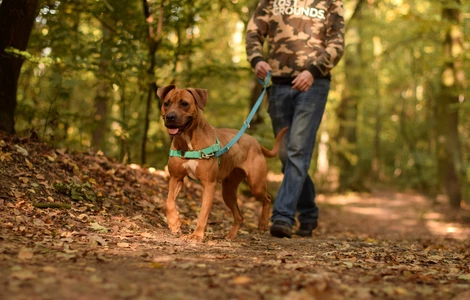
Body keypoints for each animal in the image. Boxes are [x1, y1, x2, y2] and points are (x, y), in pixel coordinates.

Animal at [157, 84, 286, 241]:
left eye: (184, 104)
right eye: (166, 103)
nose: (170, 117)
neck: (188, 140)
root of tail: (255, 141)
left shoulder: (209, 184)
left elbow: (203, 213)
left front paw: (197, 235)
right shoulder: (176, 178)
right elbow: (169, 202)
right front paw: (174, 223)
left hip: (256, 184)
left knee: (267, 198)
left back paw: (262, 224)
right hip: (228, 191)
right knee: (239, 216)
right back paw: (231, 235)